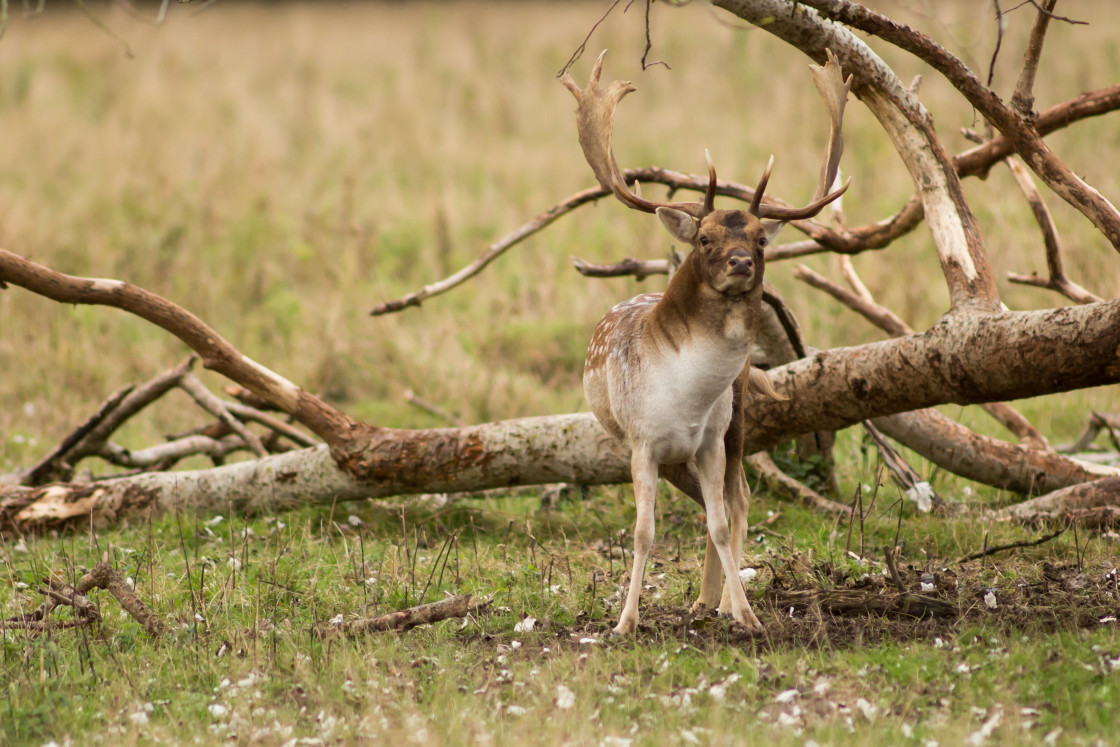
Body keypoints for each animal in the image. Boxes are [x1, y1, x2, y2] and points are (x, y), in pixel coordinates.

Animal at [560, 49, 846, 636]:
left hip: (735, 424)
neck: (685, 397)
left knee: (737, 500)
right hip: (665, 449)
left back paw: (717, 601)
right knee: (717, 501)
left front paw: (747, 615)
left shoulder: (712, 439)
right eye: (705, 237)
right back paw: (704, 599)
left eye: (760, 239)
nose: (740, 262)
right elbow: (644, 530)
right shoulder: (643, 442)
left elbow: (718, 520)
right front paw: (625, 622)